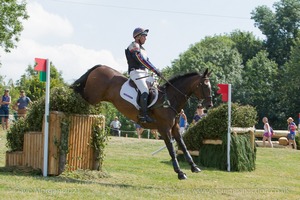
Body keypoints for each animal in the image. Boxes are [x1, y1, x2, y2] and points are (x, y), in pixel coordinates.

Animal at [72, 64, 213, 180]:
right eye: (205, 86)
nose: (209, 105)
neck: (170, 100)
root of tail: (100, 67)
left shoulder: (175, 128)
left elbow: (183, 146)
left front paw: (194, 167)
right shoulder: (164, 129)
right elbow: (172, 149)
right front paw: (180, 172)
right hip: (91, 95)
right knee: (77, 94)